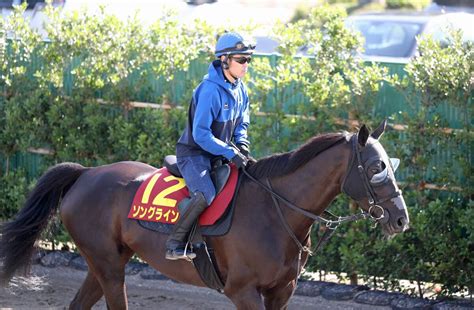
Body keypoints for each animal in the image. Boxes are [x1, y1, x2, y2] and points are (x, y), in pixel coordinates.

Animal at [0, 121, 408, 310]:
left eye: (392, 164)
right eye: (376, 168)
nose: (401, 218)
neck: (276, 211)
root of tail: (86, 173)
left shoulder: (282, 291)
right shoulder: (243, 291)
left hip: (105, 263)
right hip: (108, 267)